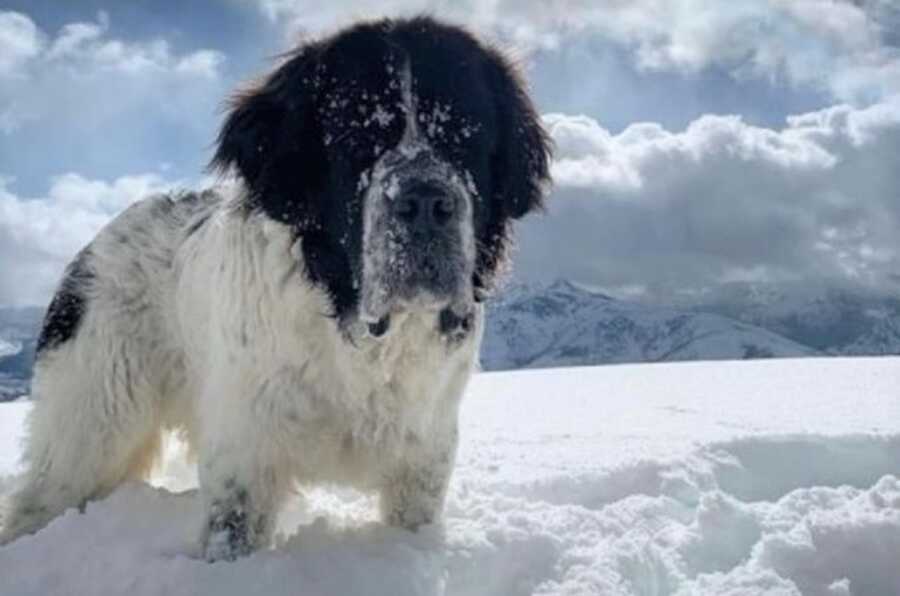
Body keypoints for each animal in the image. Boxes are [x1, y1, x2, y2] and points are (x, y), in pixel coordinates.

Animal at [0, 16, 552, 560]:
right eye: (355, 139)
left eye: (467, 136)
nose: (425, 203)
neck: (354, 335)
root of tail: (94, 243)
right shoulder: (245, 456)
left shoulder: (423, 458)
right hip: (92, 427)